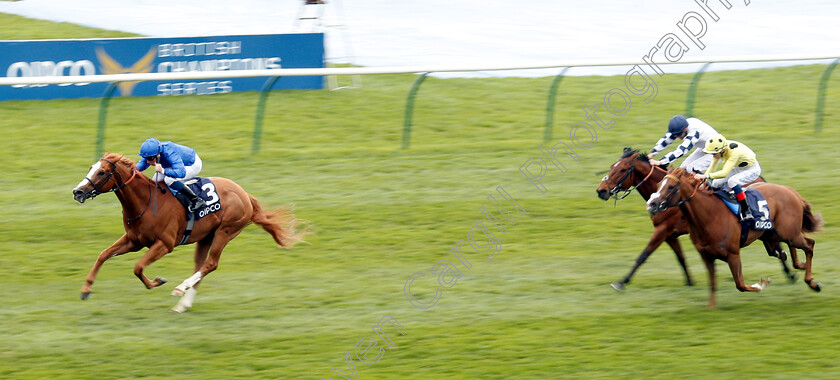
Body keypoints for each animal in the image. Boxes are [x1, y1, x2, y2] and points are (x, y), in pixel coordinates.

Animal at [72, 153, 302, 314]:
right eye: (91, 168)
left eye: (102, 172)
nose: (77, 192)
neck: (145, 202)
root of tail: (245, 194)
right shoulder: (133, 240)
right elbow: (103, 255)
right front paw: (85, 290)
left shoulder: (164, 244)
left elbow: (138, 267)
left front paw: (157, 281)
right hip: (206, 237)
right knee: (200, 267)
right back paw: (182, 304)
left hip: (226, 231)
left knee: (211, 264)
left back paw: (180, 288)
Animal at [596, 148, 796, 288]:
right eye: (611, 166)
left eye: (622, 169)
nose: (601, 191)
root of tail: (761, 179)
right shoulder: (670, 235)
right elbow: (681, 258)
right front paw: (690, 281)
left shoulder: (663, 230)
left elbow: (643, 255)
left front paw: (622, 282)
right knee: (773, 245)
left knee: (776, 244)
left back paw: (790, 272)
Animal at [648, 168, 820, 308]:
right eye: (658, 184)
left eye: (670, 187)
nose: (651, 204)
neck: (709, 215)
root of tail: (790, 190)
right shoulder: (706, 256)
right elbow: (713, 283)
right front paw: (711, 307)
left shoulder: (733, 254)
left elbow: (741, 285)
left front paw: (761, 284)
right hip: (776, 232)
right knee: (790, 248)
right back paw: (799, 264)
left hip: (788, 233)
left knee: (809, 245)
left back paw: (812, 282)